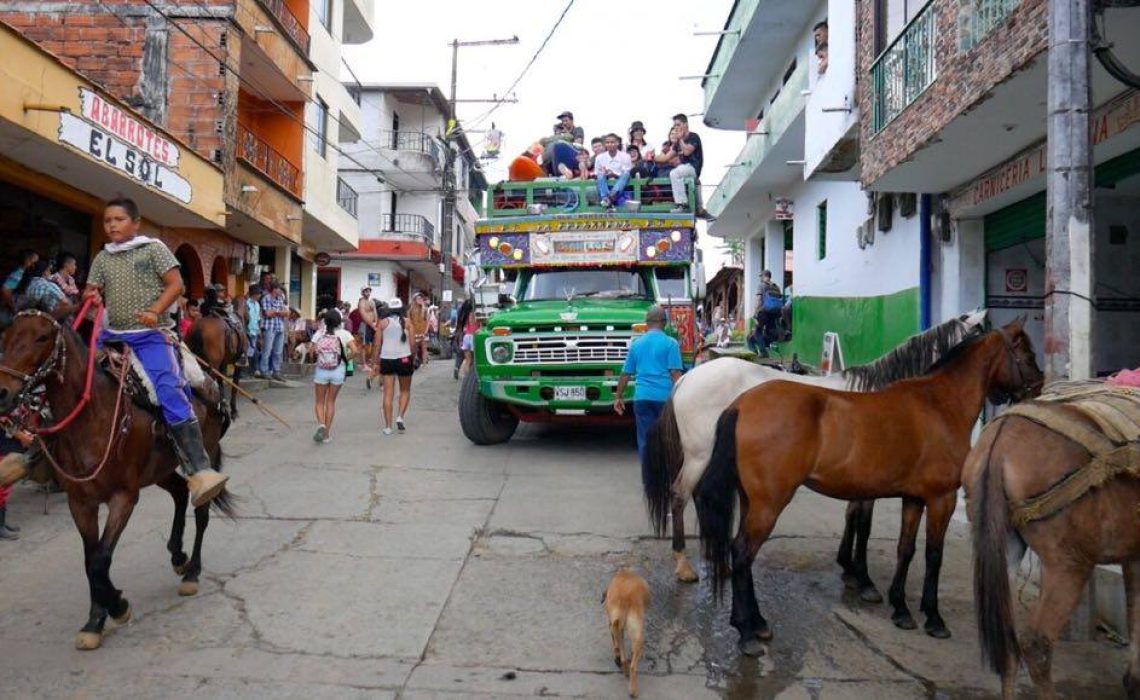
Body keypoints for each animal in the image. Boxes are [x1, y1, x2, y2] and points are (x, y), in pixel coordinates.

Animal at [0, 312, 231, 652]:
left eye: (42, 337)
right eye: (6, 336)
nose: (2, 393)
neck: (93, 414)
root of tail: (209, 380)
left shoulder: (124, 496)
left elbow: (100, 561)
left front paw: (118, 607)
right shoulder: (80, 502)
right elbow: (90, 562)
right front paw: (95, 621)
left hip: (207, 452)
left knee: (201, 509)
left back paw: (192, 573)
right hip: (159, 470)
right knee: (178, 494)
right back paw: (178, 555)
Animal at [693, 321, 1044, 656]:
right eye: (1027, 354)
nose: (1039, 386)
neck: (940, 404)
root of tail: (741, 404)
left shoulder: (913, 498)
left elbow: (906, 548)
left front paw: (900, 608)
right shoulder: (940, 499)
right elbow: (933, 555)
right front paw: (933, 618)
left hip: (751, 501)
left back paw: (757, 623)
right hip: (769, 504)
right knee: (742, 553)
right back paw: (747, 634)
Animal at [966, 392, 1140, 697]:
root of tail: (1001, 440)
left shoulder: (1132, 554)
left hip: (1004, 549)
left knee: (1008, 644)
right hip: (1069, 563)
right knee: (1037, 644)